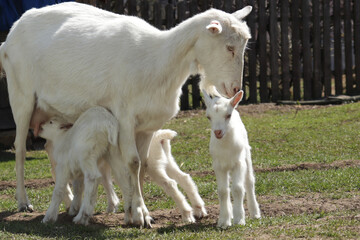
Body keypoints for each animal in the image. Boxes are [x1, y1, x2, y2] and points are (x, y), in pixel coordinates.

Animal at [0, 1, 252, 227]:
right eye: (229, 47)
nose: (235, 89)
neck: (158, 60)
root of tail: (11, 35)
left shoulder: (147, 126)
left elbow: (142, 166)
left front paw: (137, 212)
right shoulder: (125, 118)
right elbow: (133, 162)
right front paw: (140, 215)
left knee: (51, 150)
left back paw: (70, 202)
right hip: (21, 98)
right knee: (20, 149)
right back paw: (24, 202)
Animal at [204, 90, 260, 229]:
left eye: (228, 115)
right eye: (208, 117)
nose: (217, 132)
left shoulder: (238, 163)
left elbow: (238, 188)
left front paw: (239, 219)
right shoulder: (218, 165)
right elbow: (223, 191)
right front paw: (224, 221)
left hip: (246, 155)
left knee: (249, 182)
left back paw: (255, 213)